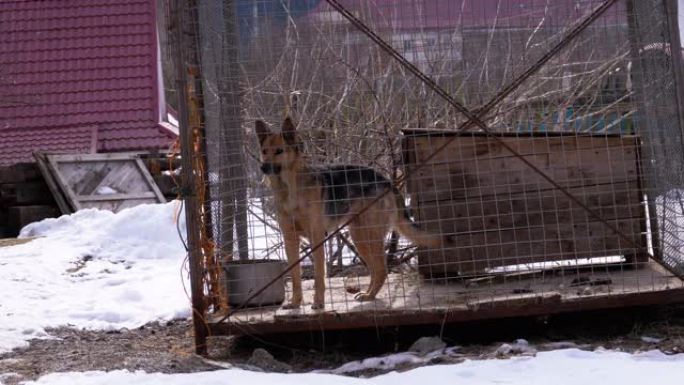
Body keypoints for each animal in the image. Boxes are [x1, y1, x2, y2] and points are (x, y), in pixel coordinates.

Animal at [254, 117, 452, 308]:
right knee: (376, 269)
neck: (289, 189)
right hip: (360, 237)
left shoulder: (316, 239)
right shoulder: (290, 240)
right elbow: (296, 277)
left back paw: (369, 296)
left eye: (279, 151)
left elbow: (319, 276)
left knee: (381, 269)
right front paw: (295, 303)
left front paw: (318, 303)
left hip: (368, 236)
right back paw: (368, 294)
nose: (263, 167)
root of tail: (387, 181)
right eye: (264, 151)